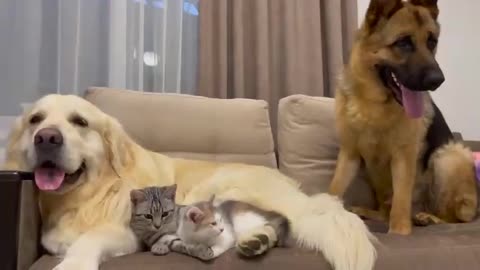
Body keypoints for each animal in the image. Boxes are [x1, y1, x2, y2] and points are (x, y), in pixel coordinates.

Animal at [129, 185, 290, 260]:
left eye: (165, 214)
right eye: (148, 216)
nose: (222, 229)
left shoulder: (226, 236)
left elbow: (219, 245)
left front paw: (209, 252)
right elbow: (184, 245)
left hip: (245, 221)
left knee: (270, 228)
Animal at [328, 0, 478, 234]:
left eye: (432, 42)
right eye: (404, 43)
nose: (438, 80)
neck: (374, 103)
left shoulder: (403, 157)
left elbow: (401, 199)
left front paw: (399, 232)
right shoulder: (349, 154)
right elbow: (335, 187)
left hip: (449, 156)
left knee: (454, 218)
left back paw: (428, 218)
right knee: (383, 210)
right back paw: (369, 212)